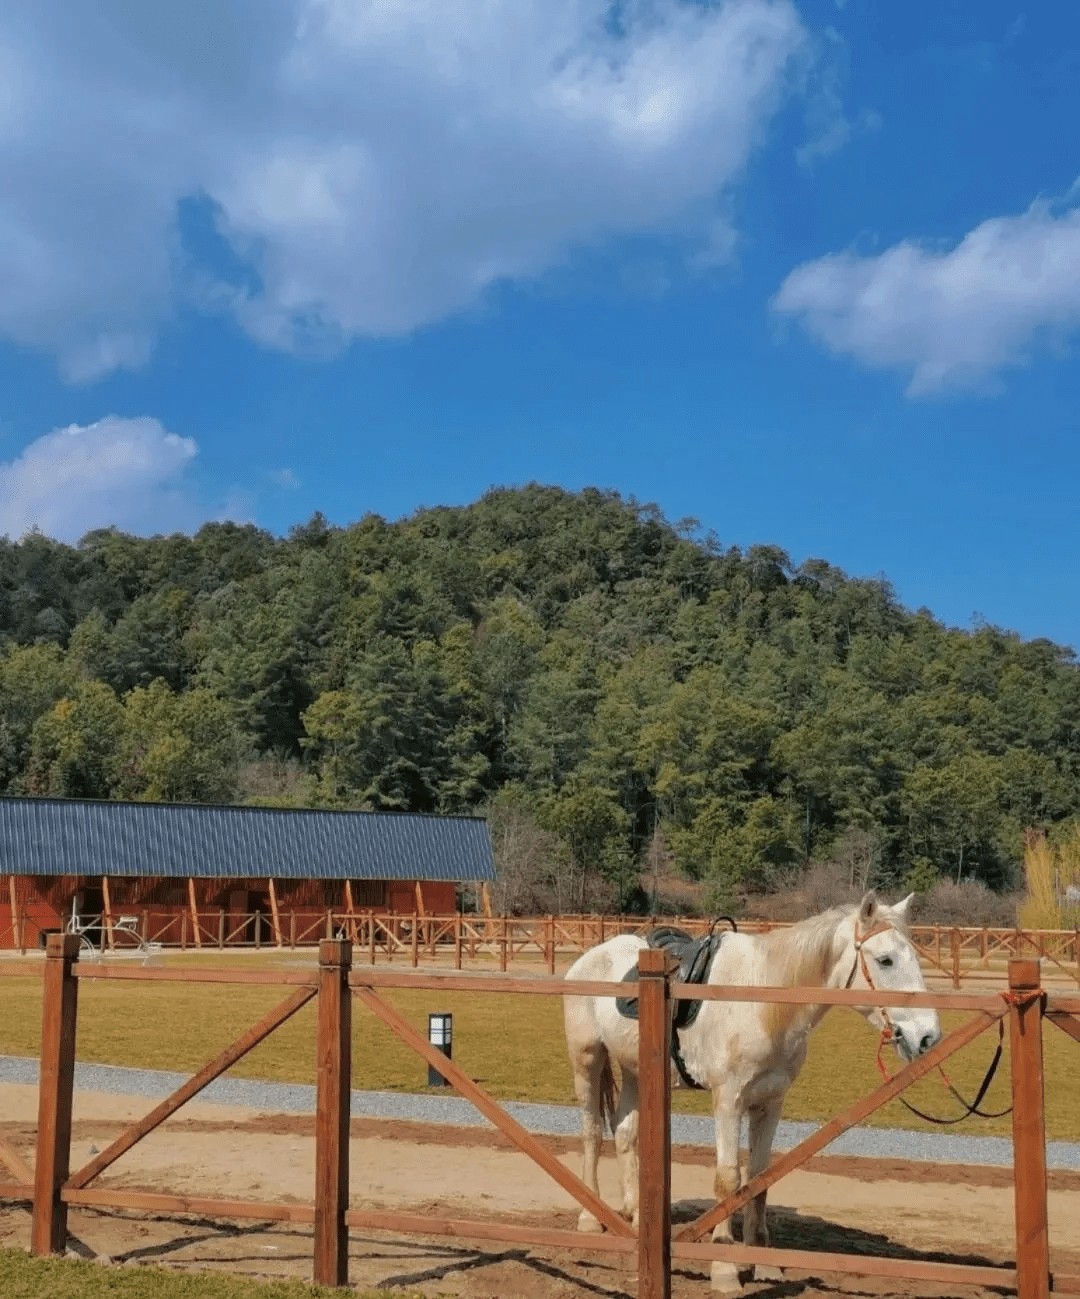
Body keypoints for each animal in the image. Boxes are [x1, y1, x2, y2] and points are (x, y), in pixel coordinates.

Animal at [566, 893, 935, 1288]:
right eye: (885, 960)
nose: (928, 1036)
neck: (760, 1001)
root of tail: (591, 956)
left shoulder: (769, 1103)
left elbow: (758, 1178)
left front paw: (762, 1262)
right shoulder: (728, 1101)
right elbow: (728, 1179)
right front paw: (724, 1267)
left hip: (635, 1068)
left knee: (624, 1133)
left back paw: (634, 1217)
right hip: (587, 1060)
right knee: (592, 1132)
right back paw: (589, 1217)